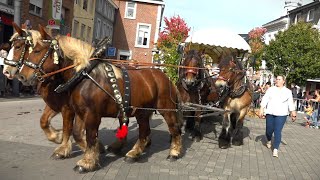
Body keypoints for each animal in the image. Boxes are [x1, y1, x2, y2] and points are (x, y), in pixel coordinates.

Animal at [3, 23, 91, 160]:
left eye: (18, 47)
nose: (6, 71)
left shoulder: (67, 107)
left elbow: (68, 127)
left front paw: (63, 146)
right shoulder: (53, 104)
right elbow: (43, 121)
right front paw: (57, 136)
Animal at [16, 25, 182, 173]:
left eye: (37, 51)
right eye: (29, 50)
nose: (22, 76)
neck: (83, 76)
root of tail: (165, 76)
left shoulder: (91, 114)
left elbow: (90, 136)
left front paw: (87, 162)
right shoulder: (80, 111)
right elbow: (76, 132)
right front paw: (88, 152)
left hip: (166, 109)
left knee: (174, 128)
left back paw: (174, 152)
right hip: (142, 112)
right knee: (144, 131)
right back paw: (134, 153)